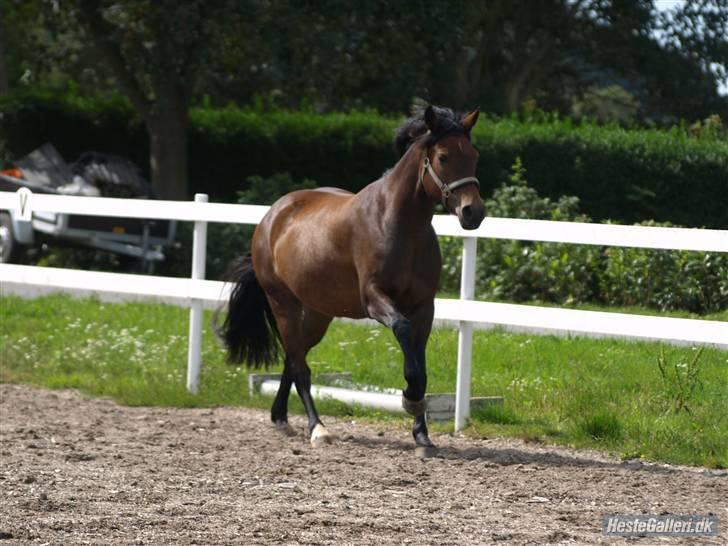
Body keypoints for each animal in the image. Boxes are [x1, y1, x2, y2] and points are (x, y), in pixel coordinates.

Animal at [219, 105, 486, 450]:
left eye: (474, 155)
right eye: (443, 157)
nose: (473, 212)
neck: (399, 225)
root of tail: (272, 216)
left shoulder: (424, 307)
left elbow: (420, 362)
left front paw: (422, 433)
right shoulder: (375, 299)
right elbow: (404, 337)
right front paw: (410, 400)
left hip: (318, 313)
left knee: (294, 356)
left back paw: (280, 417)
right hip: (283, 304)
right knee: (300, 366)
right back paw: (317, 428)